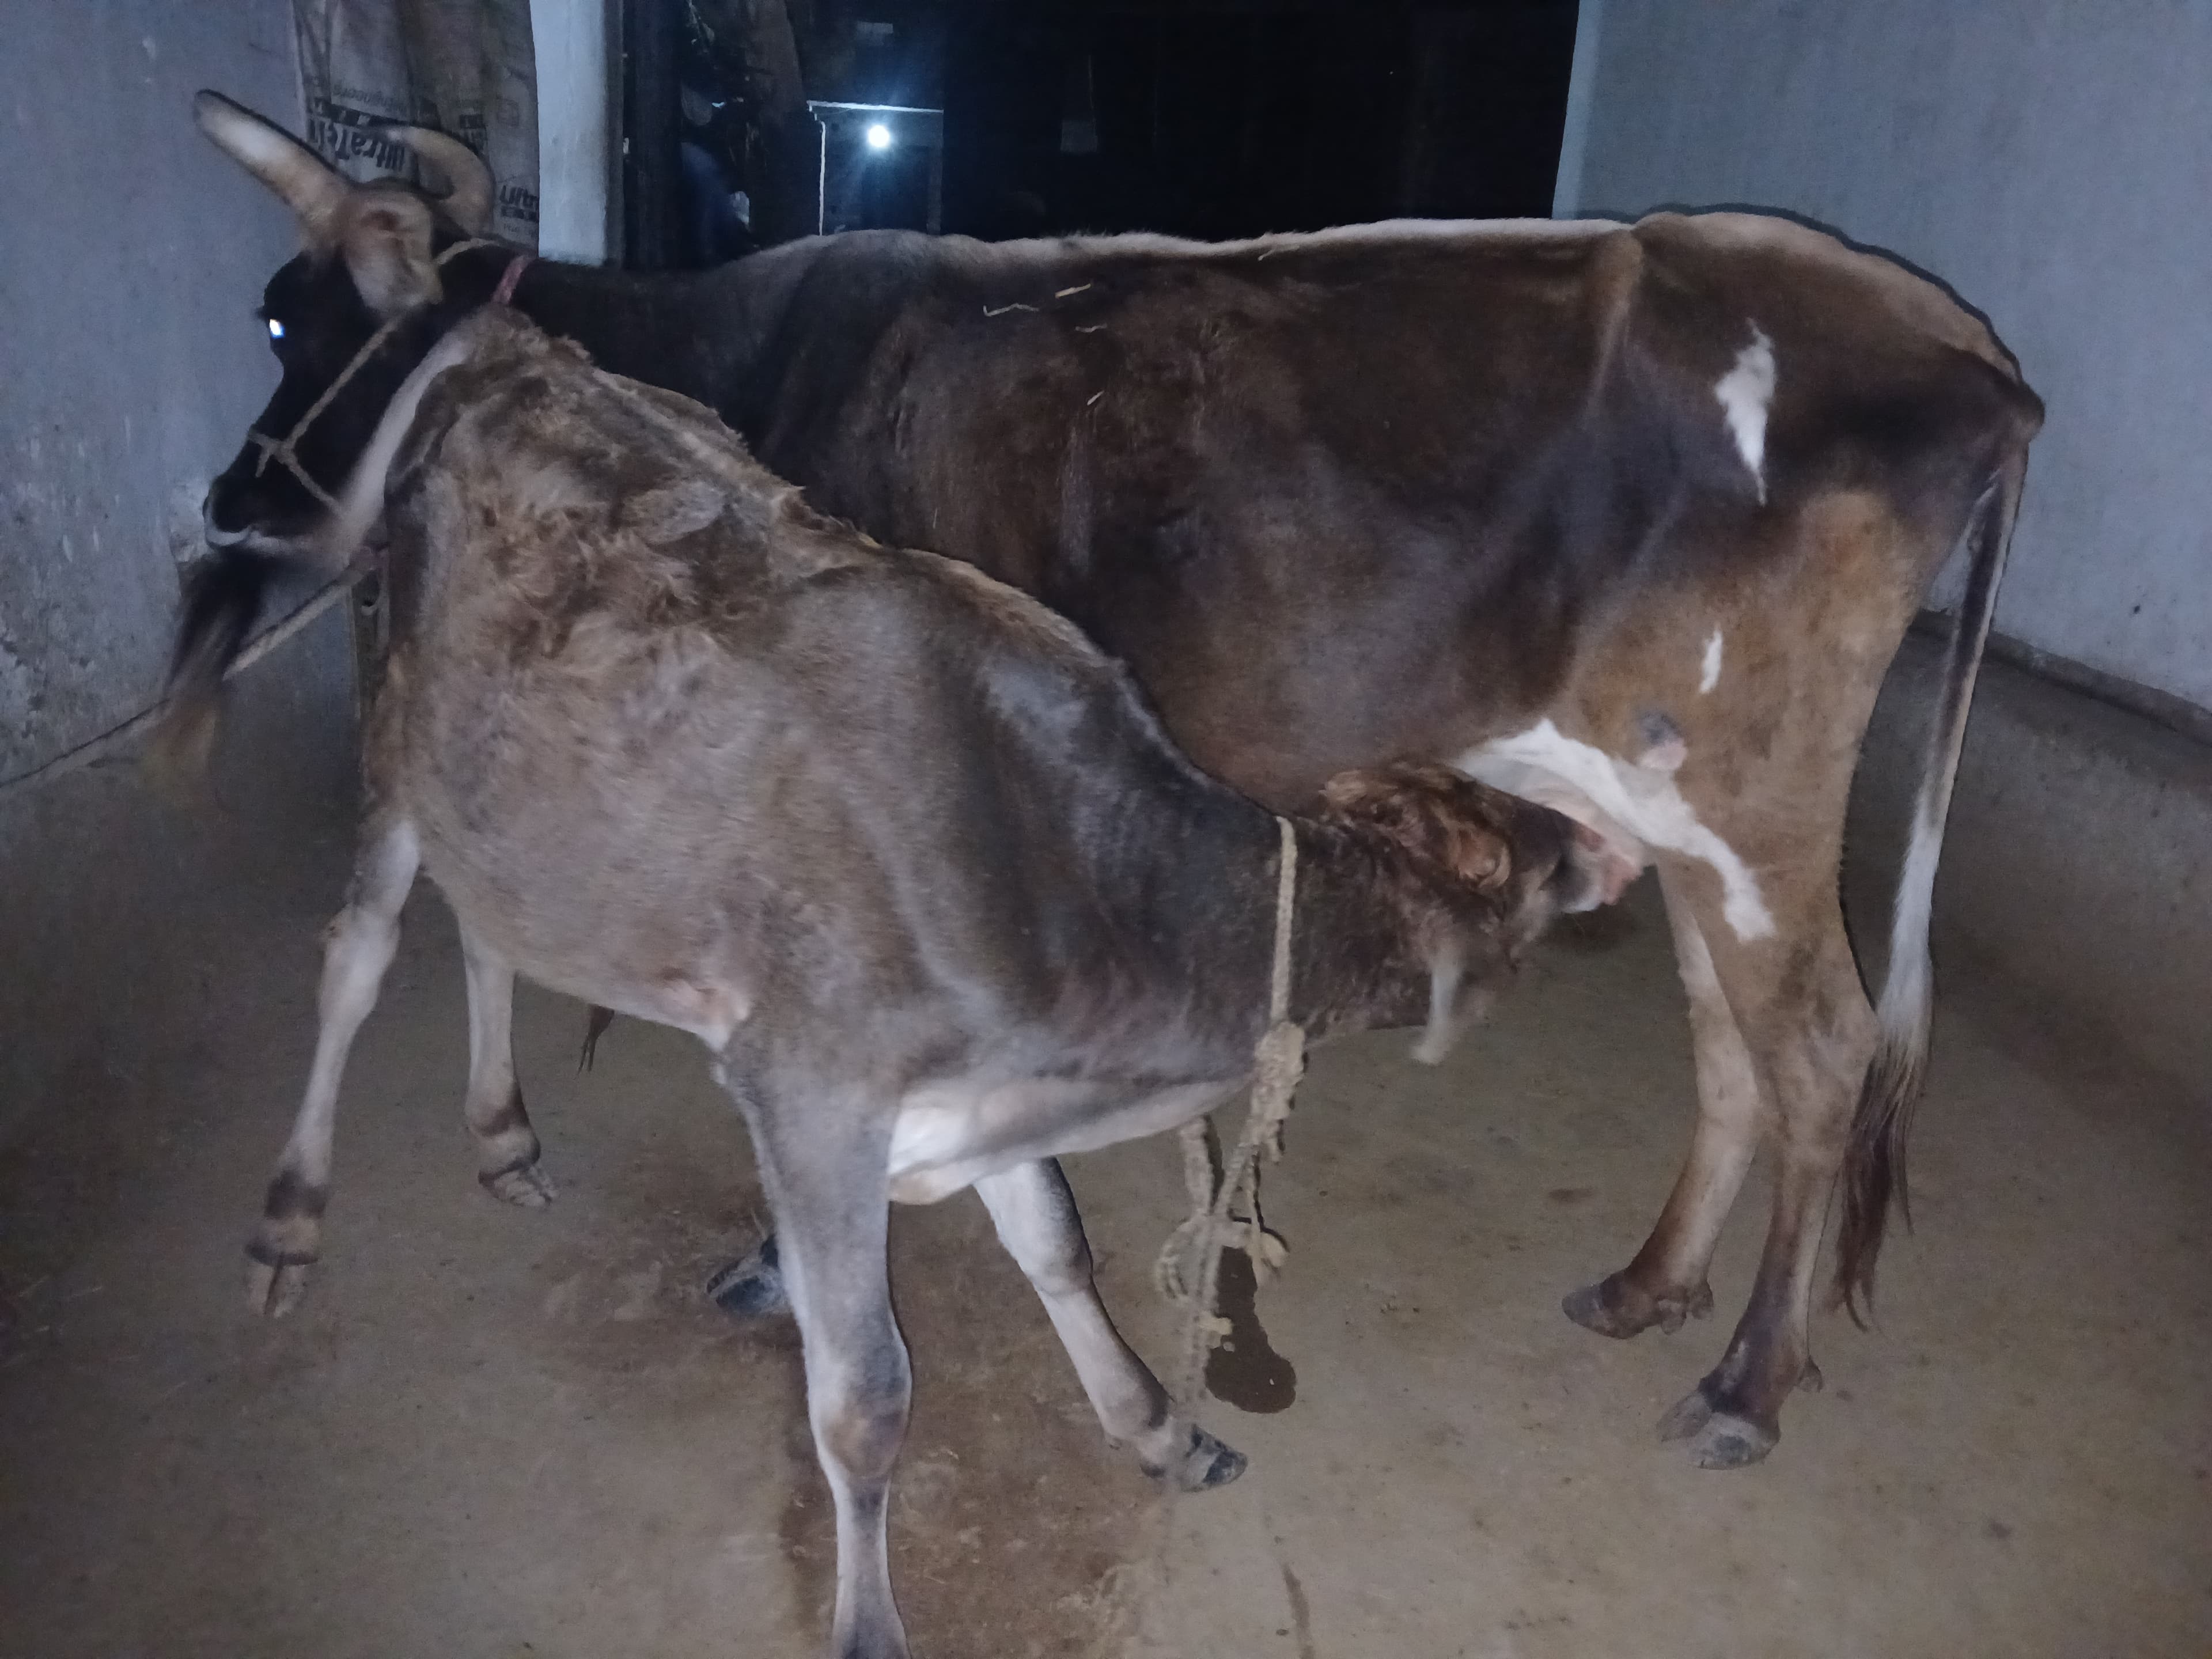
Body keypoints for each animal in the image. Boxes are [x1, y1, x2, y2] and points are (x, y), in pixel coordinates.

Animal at [177, 280, 1591, 1657]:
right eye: (1515, 864)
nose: (1588, 847)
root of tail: (525, 344)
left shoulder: (986, 1085)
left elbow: (1057, 1249)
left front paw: (1154, 1425)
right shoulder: (815, 1096)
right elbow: (863, 1400)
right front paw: (871, 1624)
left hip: (519, 801)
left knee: (488, 931)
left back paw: (502, 1135)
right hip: (402, 730)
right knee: (357, 954)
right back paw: (290, 1220)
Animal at [183, 92, 2044, 1469]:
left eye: (287, 316)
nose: (226, 509)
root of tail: (1959, 358)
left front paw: (773, 1265)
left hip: (1751, 801)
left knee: (1819, 1056)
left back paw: (1742, 1386)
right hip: (1678, 821)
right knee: (1730, 1050)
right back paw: (1650, 1286)